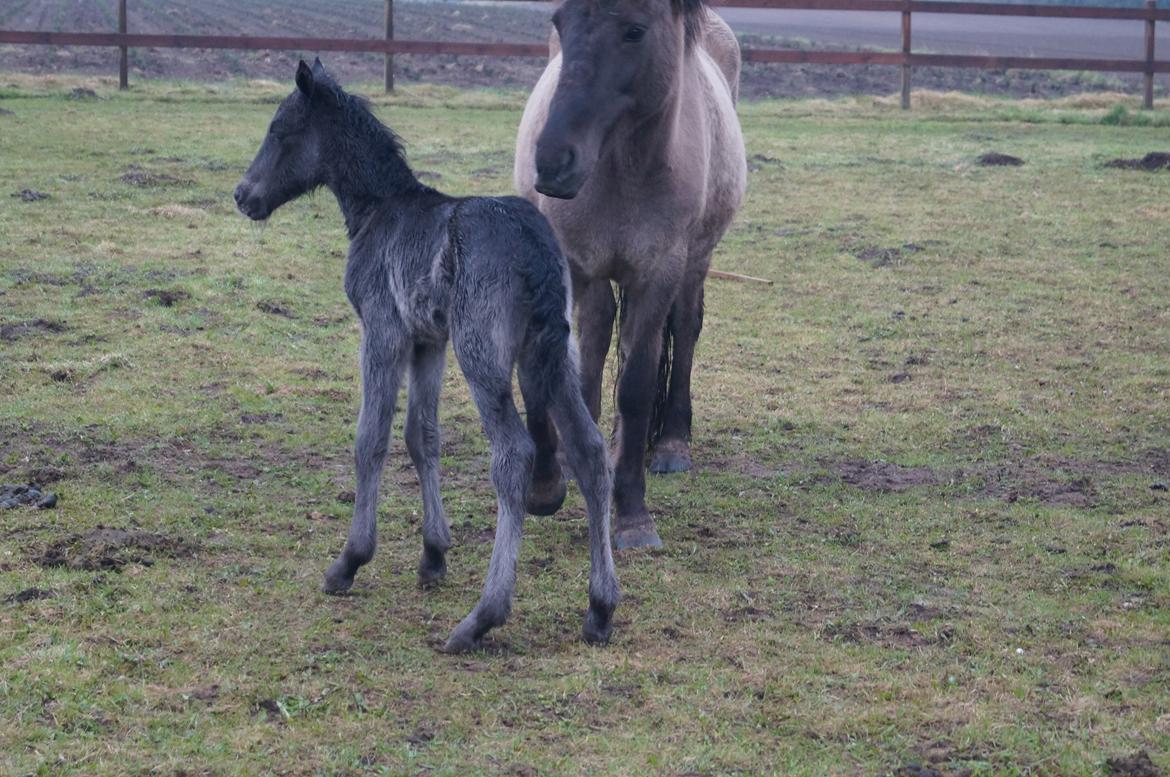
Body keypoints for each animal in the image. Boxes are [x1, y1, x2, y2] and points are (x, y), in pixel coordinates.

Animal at [231, 60, 617, 650]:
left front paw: (350, 561)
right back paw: (599, 609)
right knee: (591, 451)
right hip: (552, 356)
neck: (380, 210)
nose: (242, 195)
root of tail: (533, 246)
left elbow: (371, 438)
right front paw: (434, 554)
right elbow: (421, 435)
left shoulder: (383, 332)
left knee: (514, 455)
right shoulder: (428, 342)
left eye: (279, 130)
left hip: (483, 355)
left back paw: (482, 617)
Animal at [514, 0, 748, 552]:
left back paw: (669, 445)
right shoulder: (580, 269)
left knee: (681, 333)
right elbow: (577, 372)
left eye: (634, 31)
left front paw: (632, 515)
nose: (551, 162)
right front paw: (559, 477)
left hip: (693, 264)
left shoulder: (657, 274)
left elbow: (638, 385)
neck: (622, 170)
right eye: (559, 23)